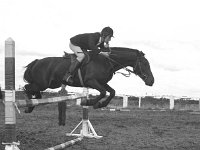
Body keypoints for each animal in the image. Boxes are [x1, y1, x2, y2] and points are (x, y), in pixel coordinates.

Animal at [23, 46, 155, 112]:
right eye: (144, 64)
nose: (151, 81)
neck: (107, 61)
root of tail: (37, 61)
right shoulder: (91, 82)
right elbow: (103, 92)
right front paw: (89, 102)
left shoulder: (102, 82)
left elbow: (112, 92)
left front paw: (100, 105)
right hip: (43, 84)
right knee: (27, 87)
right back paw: (29, 106)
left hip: (51, 84)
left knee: (31, 89)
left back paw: (33, 104)